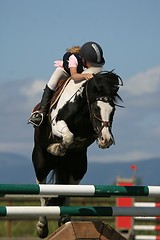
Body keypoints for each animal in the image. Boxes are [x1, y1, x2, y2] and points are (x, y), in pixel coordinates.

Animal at [31, 70, 123, 238]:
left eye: (112, 110)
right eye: (96, 109)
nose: (106, 140)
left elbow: (77, 138)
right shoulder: (57, 123)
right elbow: (68, 135)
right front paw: (57, 148)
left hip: (78, 168)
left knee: (68, 190)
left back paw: (65, 219)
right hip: (41, 162)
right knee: (43, 191)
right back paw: (42, 226)